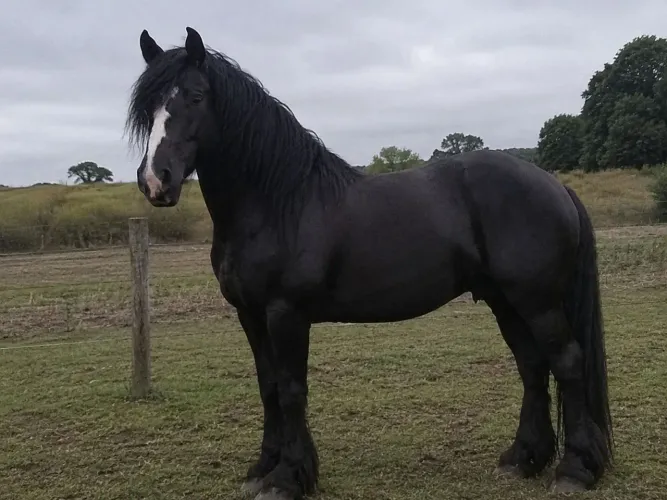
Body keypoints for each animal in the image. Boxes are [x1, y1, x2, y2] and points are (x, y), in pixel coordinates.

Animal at [126, 27, 613, 500]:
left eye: (195, 96)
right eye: (147, 107)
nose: (155, 181)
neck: (277, 203)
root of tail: (554, 184)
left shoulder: (286, 313)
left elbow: (291, 390)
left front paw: (288, 479)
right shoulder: (250, 314)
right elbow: (268, 388)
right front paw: (263, 469)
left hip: (537, 302)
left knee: (567, 362)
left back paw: (574, 470)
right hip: (505, 301)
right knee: (532, 365)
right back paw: (523, 459)